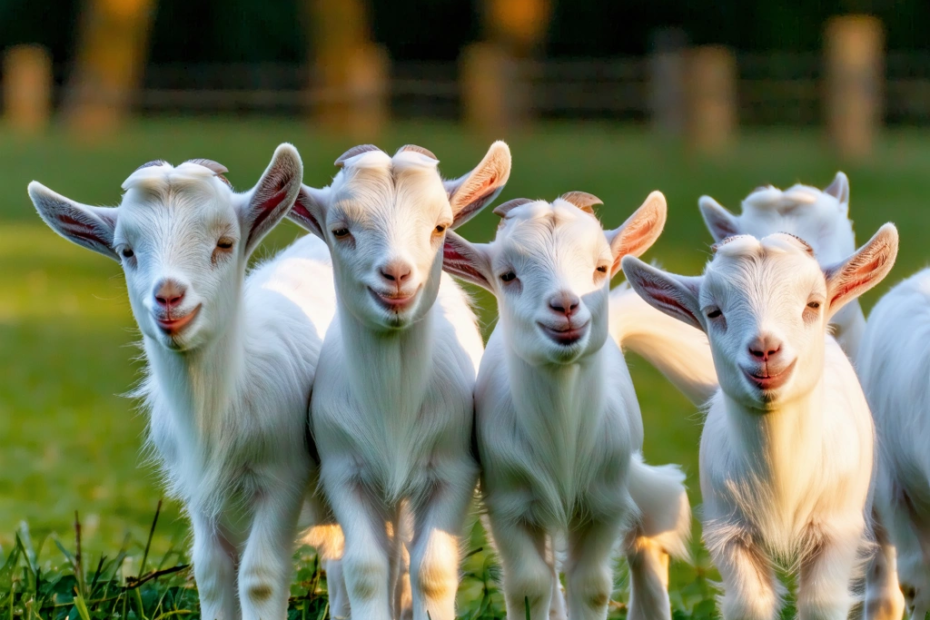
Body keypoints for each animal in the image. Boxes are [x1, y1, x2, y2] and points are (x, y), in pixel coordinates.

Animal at [28, 145, 336, 620]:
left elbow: (260, 576)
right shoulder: (199, 488)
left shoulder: (283, 475)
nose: (169, 297)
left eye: (225, 243)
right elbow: (210, 572)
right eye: (126, 251)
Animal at [287, 142, 511, 620]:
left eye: (441, 226)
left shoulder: (451, 468)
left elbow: (431, 567)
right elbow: (366, 566)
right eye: (340, 230)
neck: (394, 404)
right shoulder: (345, 471)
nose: (396, 275)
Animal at [443, 191, 691, 620]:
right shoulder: (508, 503)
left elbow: (591, 585)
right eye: (507, 275)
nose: (565, 306)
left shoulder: (604, 502)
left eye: (601, 268)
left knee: (651, 522)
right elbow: (530, 584)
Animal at [624, 225, 898, 620]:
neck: (782, 479)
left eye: (812, 304)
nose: (765, 349)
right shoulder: (730, 533)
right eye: (713, 312)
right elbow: (749, 603)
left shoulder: (836, 530)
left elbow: (821, 602)